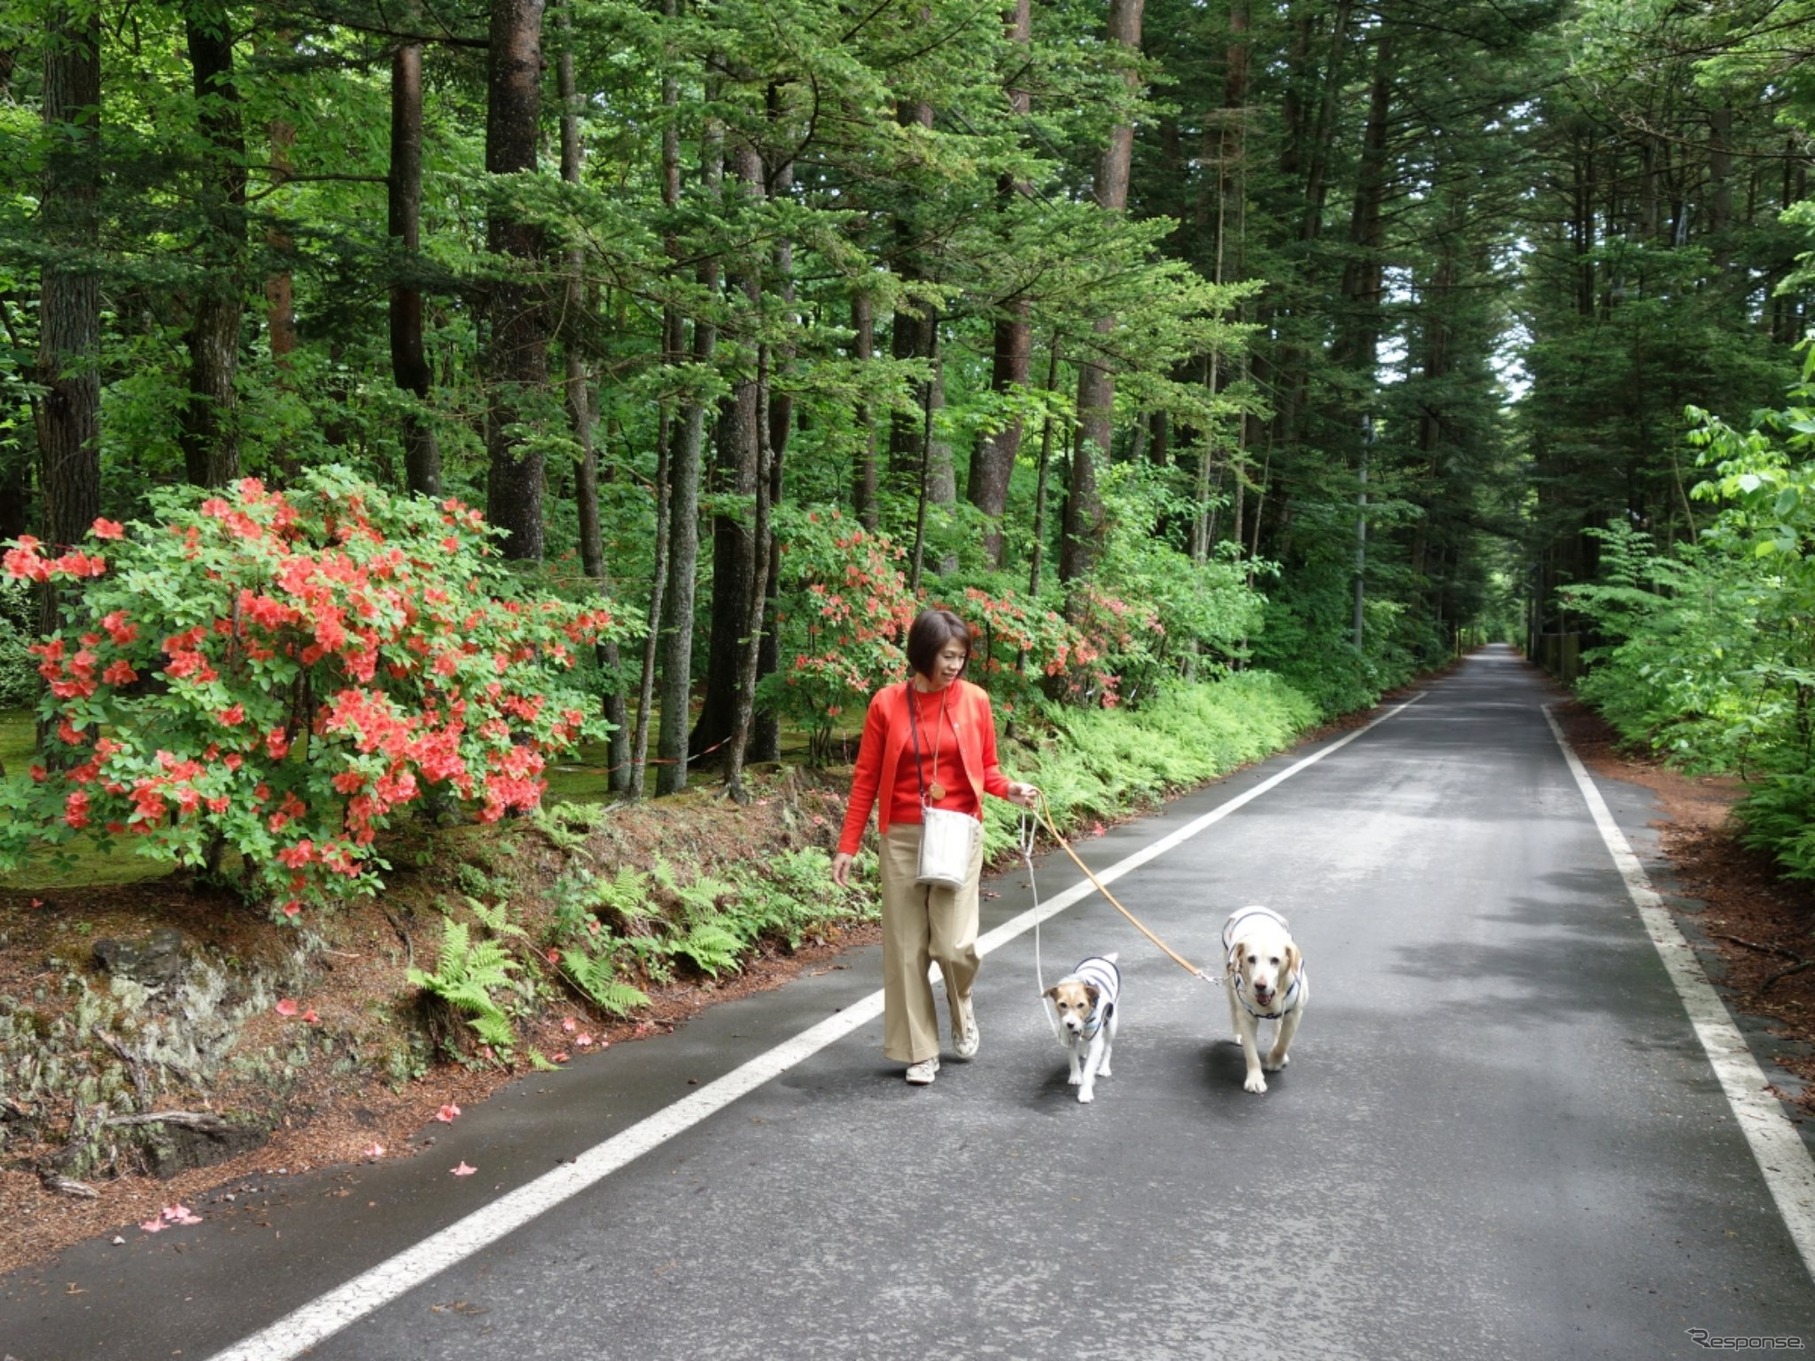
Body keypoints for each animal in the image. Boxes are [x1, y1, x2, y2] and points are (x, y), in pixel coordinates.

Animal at [1052, 950, 1118, 1103]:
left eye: (1081, 1005)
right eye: (1062, 1005)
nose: (1070, 1024)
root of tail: (1103, 959)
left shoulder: (1096, 1043)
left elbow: (1088, 1070)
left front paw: (1085, 1092)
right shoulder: (1069, 1037)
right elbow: (1073, 1059)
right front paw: (1076, 1076)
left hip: (1111, 1023)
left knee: (1108, 1047)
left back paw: (1104, 1067)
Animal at [1219, 910, 1306, 1096]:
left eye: (1275, 960)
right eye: (1251, 959)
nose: (1260, 985)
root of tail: (1251, 907)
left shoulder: (1294, 1014)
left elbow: (1283, 1043)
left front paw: (1274, 1060)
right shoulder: (1247, 1018)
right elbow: (1251, 1054)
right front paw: (1255, 1079)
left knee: (1278, 1027)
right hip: (1229, 984)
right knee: (1233, 1010)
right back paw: (1237, 1034)